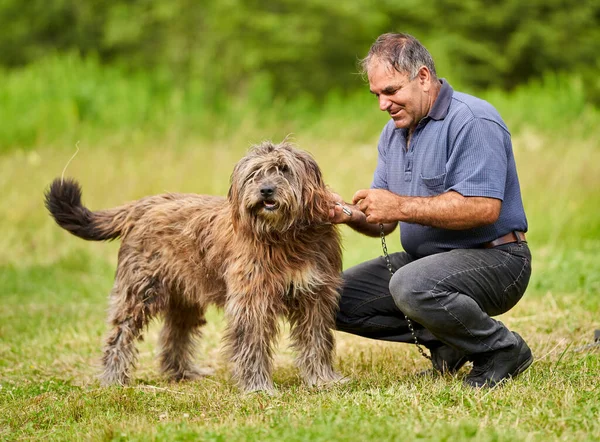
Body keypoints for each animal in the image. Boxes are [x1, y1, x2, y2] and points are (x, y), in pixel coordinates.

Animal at [44, 140, 344, 392]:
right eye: (254, 174)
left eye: (284, 169)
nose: (266, 190)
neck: (285, 237)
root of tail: (143, 205)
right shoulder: (251, 301)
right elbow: (252, 344)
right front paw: (257, 387)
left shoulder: (315, 297)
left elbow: (316, 340)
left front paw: (322, 379)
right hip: (139, 291)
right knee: (120, 334)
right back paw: (113, 379)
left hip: (183, 296)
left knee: (174, 334)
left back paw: (181, 373)